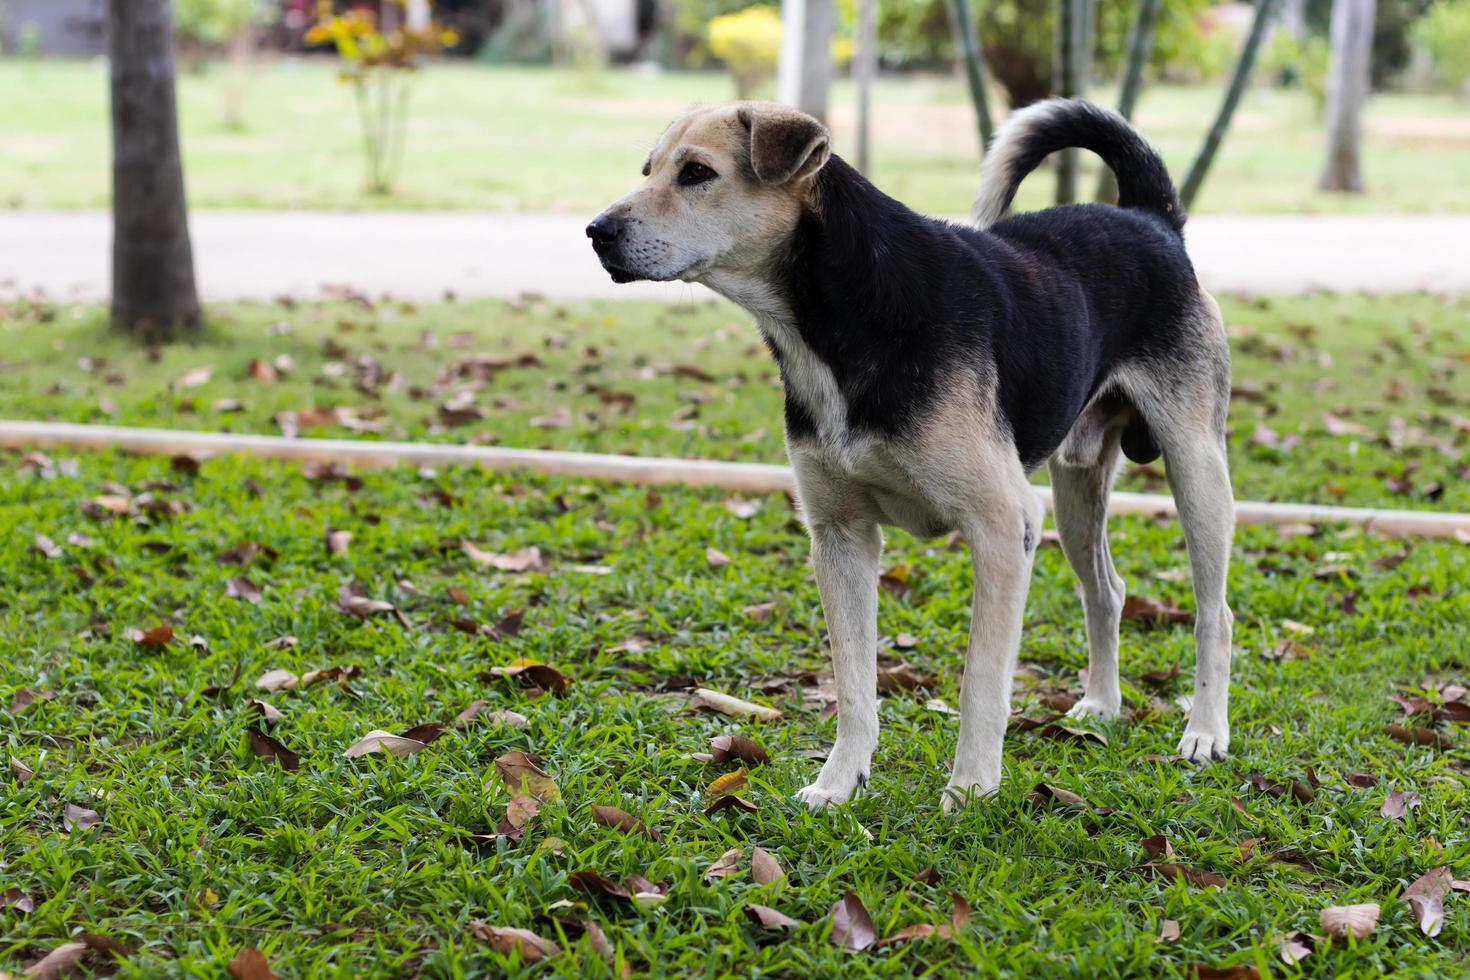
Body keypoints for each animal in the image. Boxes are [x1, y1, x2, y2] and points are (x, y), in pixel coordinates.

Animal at [585, 97, 1228, 811]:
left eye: (697, 173)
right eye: (648, 170)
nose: (596, 232)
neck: (842, 314)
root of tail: (1150, 218)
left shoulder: (1003, 528)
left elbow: (981, 682)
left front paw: (971, 789)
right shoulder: (840, 536)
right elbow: (854, 686)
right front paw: (840, 783)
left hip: (1195, 466)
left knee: (1215, 614)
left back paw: (1205, 732)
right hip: (1077, 489)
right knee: (1108, 592)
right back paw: (1101, 705)